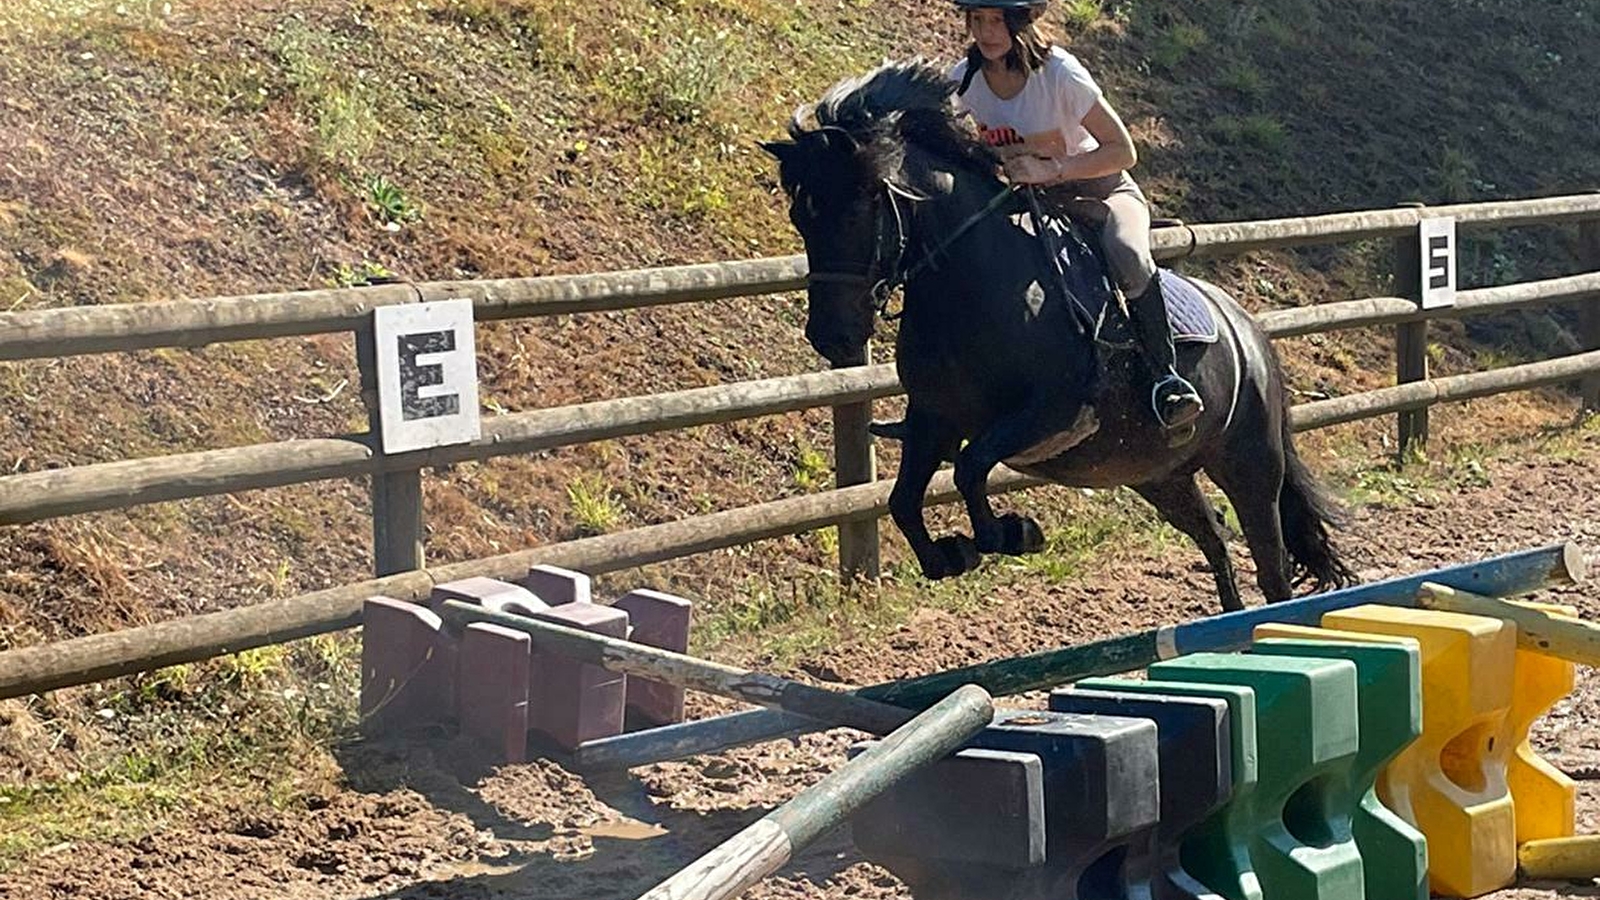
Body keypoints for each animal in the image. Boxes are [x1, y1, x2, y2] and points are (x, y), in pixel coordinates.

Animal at [761, 59, 1350, 608]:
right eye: (801, 218)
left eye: (856, 211)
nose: (831, 338)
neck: (973, 281)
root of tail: (1248, 329)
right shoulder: (934, 419)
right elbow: (904, 500)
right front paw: (950, 555)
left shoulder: (1053, 412)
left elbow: (970, 469)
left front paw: (1012, 533)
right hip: (1161, 476)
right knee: (1216, 543)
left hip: (1250, 467)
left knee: (1270, 568)